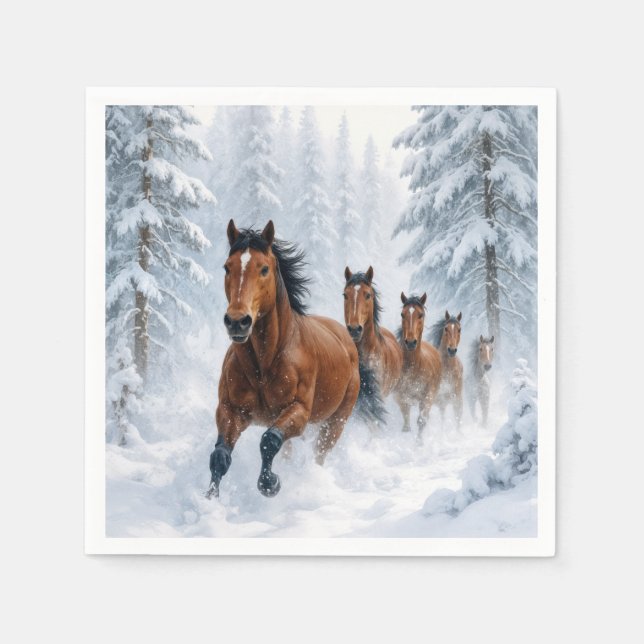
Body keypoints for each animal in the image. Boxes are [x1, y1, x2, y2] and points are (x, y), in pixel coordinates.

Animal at [206, 219, 368, 499]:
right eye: (227, 267)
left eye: (264, 268)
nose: (237, 321)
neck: (264, 364)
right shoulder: (230, 410)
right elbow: (219, 456)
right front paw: (209, 500)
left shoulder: (298, 411)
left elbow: (269, 441)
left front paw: (270, 484)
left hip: (336, 421)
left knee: (319, 453)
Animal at [394, 292, 442, 443]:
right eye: (402, 314)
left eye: (420, 314)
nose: (410, 342)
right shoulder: (401, 396)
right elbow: (406, 421)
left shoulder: (428, 395)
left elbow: (421, 420)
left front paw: (419, 443)